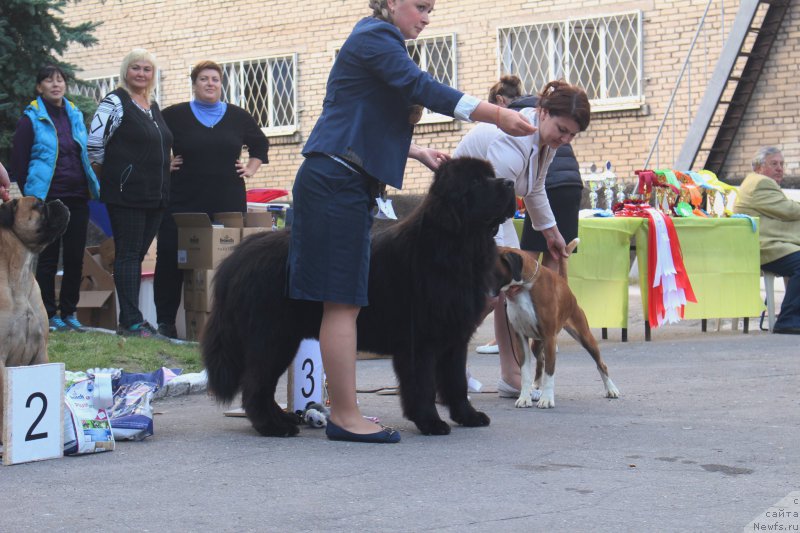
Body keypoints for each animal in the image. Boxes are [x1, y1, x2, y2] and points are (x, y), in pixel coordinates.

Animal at [203, 157, 516, 436]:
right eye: (475, 182)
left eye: (491, 175)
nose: (510, 183)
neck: (457, 245)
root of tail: (238, 257)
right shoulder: (420, 340)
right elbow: (423, 385)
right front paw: (430, 422)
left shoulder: (455, 337)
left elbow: (456, 382)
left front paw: (468, 416)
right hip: (272, 337)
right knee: (255, 385)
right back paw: (273, 427)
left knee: (262, 385)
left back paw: (284, 419)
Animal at [494, 239, 620, 410]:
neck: (523, 288)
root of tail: (566, 286)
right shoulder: (520, 338)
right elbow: (525, 373)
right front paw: (524, 398)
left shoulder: (549, 337)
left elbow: (550, 372)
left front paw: (547, 399)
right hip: (536, 344)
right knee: (540, 361)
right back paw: (535, 386)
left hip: (585, 337)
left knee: (601, 364)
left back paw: (611, 389)